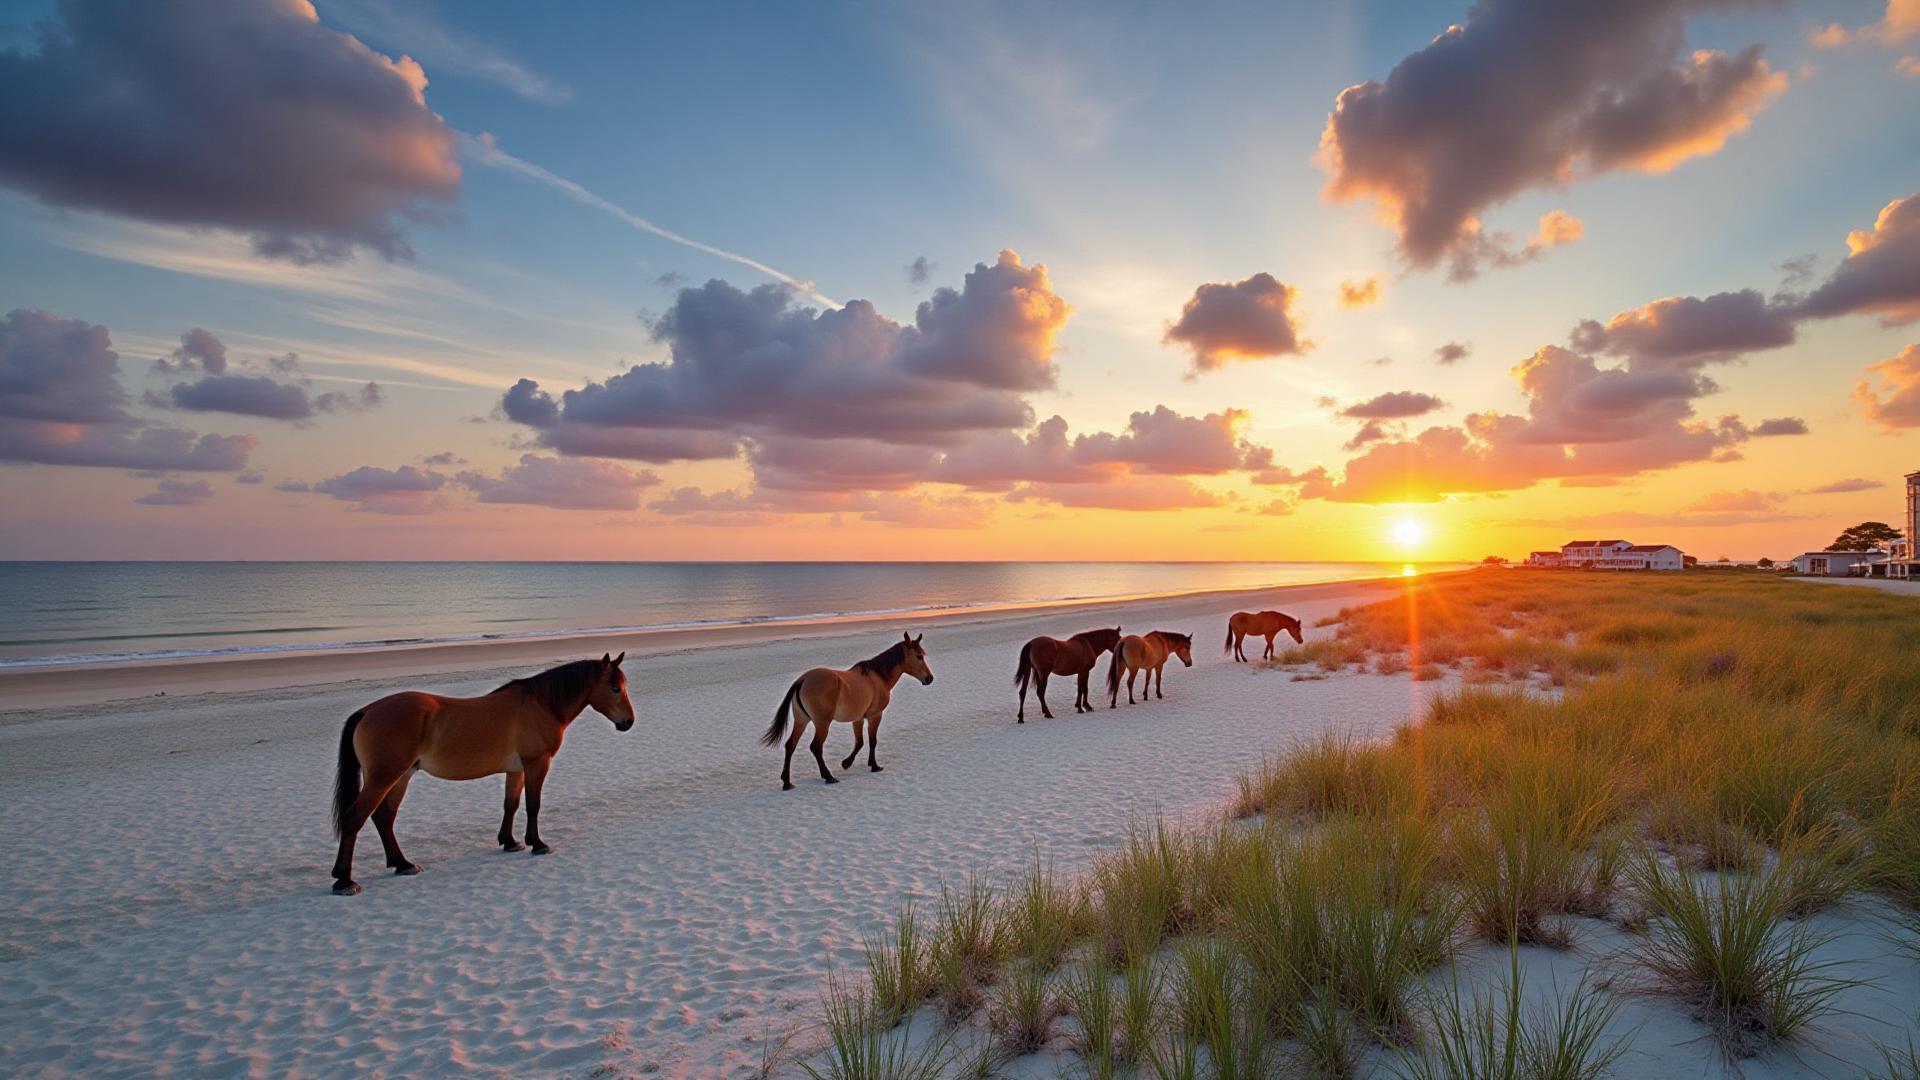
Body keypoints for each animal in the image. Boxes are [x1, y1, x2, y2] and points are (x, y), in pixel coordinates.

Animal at [328, 653, 634, 896]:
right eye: (615, 688)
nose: (628, 722)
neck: (540, 705)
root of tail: (367, 711)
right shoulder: (537, 763)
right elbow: (533, 805)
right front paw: (537, 843)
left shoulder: (516, 769)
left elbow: (511, 804)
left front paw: (510, 842)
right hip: (384, 777)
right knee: (355, 818)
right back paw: (345, 880)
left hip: (400, 777)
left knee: (384, 818)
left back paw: (402, 864)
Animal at [761, 632, 933, 790]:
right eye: (919, 656)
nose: (929, 678)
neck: (878, 677)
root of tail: (802, 680)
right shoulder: (875, 716)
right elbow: (872, 741)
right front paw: (874, 765)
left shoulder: (858, 719)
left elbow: (860, 742)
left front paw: (847, 763)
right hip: (822, 723)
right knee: (816, 747)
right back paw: (828, 776)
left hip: (801, 720)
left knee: (790, 745)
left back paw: (787, 782)